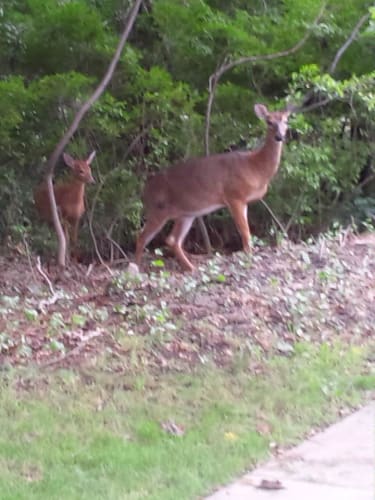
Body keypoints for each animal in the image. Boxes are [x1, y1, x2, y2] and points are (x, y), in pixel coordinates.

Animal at [137, 103, 292, 272]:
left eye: (285, 121)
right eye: (269, 122)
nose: (279, 136)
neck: (256, 168)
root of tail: (144, 191)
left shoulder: (243, 201)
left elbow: (246, 232)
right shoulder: (234, 195)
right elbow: (245, 232)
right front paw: (249, 258)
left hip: (186, 213)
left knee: (172, 240)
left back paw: (191, 267)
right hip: (158, 209)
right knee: (142, 237)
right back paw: (137, 266)